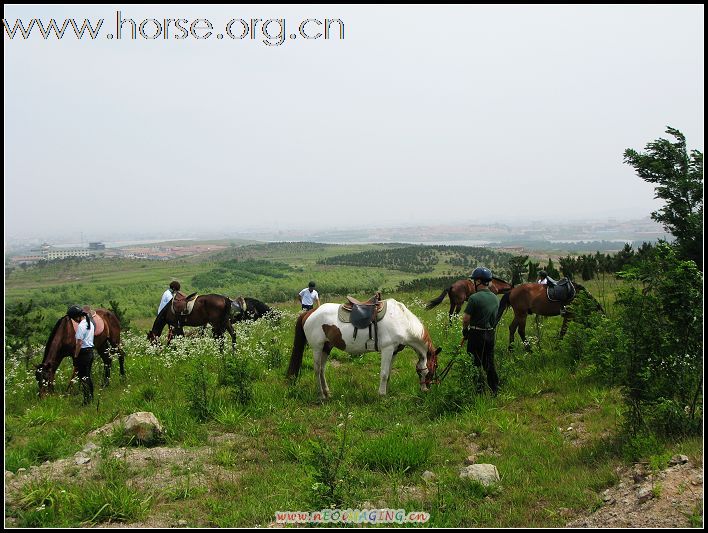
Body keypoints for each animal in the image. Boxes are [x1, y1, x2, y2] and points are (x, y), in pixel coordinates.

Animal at [284, 300, 440, 400]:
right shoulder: (387, 349)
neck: (402, 321)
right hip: (317, 348)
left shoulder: (394, 351)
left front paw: (386, 392)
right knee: (317, 370)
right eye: (434, 367)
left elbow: (389, 373)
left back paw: (327, 393)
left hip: (326, 347)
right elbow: (384, 374)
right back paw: (321, 395)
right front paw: (382, 395)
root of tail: (310, 312)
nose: (426, 390)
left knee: (322, 369)